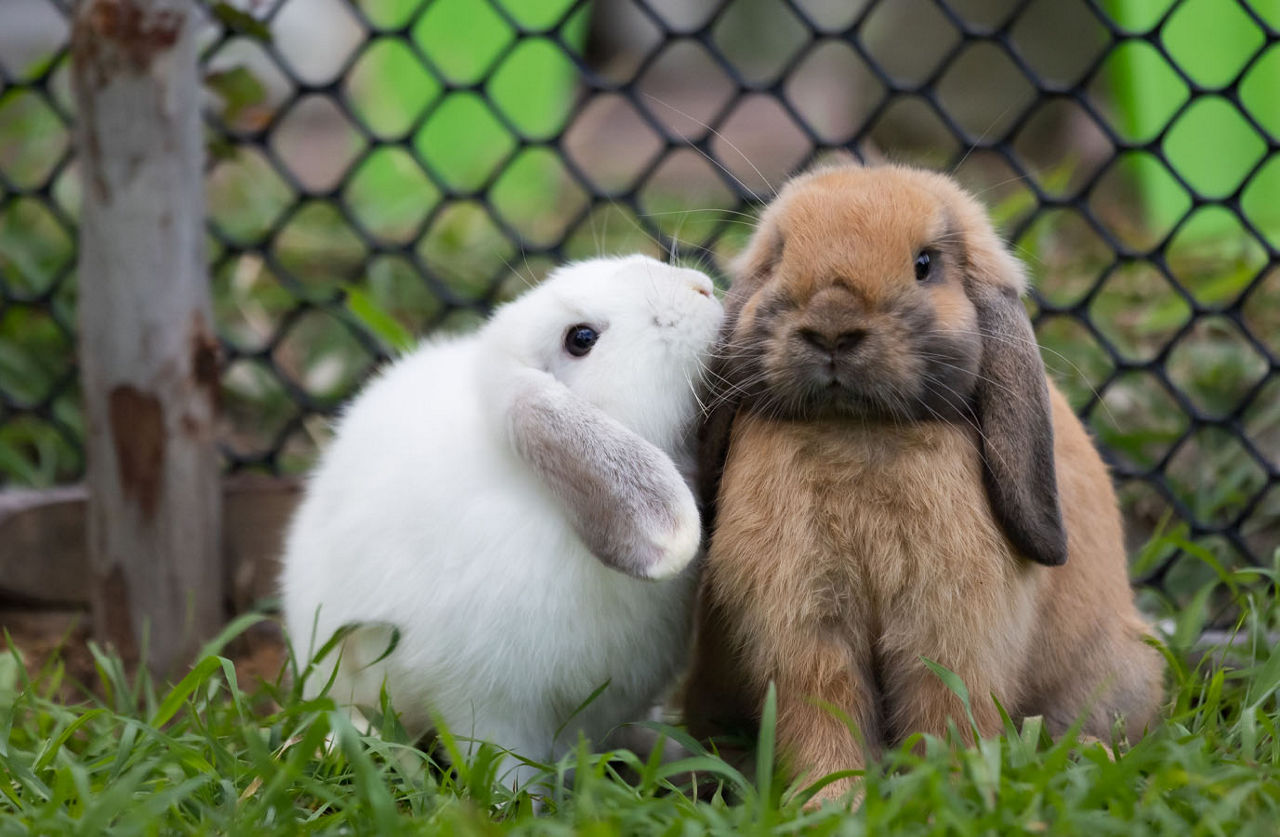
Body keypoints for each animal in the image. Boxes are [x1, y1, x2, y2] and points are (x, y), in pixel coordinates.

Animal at [686, 163, 1167, 808]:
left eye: (925, 264)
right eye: (780, 255)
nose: (833, 327)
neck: (856, 432)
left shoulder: (949, 627)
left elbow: (945, 710)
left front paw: (945, 791)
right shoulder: (805, 625)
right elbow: (823, 708)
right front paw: (831, 799)